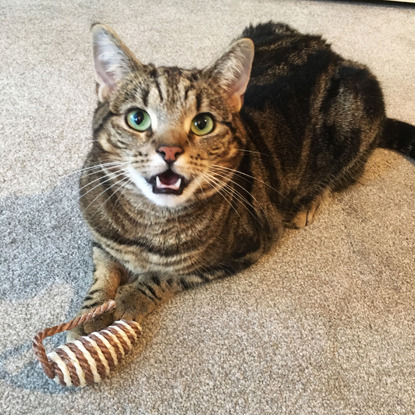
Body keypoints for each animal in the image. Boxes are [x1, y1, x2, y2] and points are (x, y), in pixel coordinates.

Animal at [70, 22, 414, 338]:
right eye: (137, 118)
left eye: (202, 123)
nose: (169, 151)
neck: (148, 225)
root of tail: (331, 52)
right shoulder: (100, 239)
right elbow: (103, 272)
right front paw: (90, 315)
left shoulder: (243, 250)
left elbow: (168, 276)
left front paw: (132, 297)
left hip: (357, 113)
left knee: (339, 177)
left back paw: (308, 203)